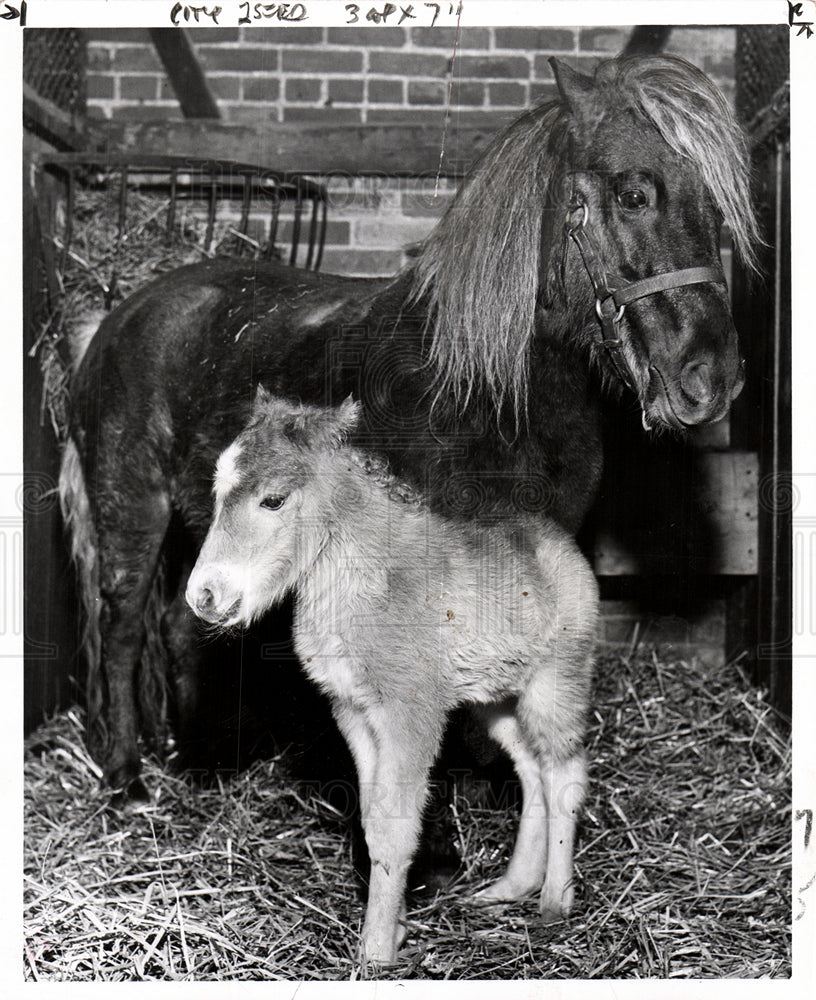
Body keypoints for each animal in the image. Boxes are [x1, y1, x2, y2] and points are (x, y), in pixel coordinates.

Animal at [57, 56, 760, 804]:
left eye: (718, 210)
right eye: (633, 194)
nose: (711, 378)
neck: (489, 392)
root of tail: (116, 318)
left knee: (182, 623)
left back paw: (201, 759)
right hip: (132, 509)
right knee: (123, 625)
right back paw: (127, 775)